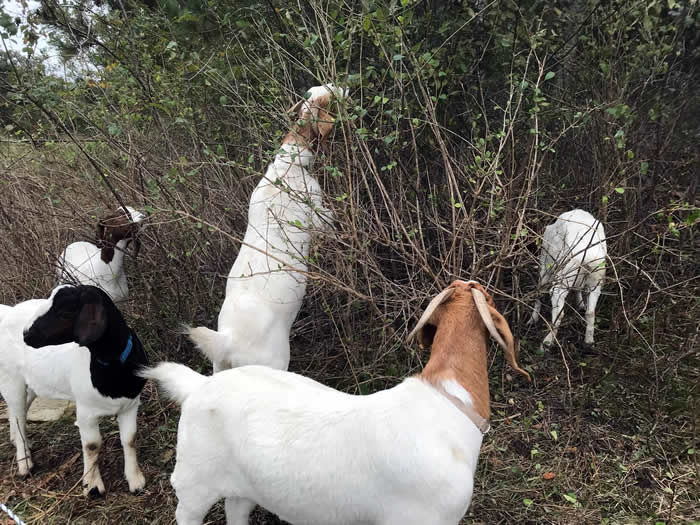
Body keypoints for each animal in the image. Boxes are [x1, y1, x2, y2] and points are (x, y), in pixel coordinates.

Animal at [0, 284, 148, 494]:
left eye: (64, 311)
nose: (26, 334)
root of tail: (8, 312)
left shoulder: (130, 404)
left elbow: (130, 439)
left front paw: (135, 481)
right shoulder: (85, 411)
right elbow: (93, 445)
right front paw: (92, 486)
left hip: (31, 384)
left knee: (16, 413)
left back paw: (19, 442)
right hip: (11, 379)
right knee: (19, 416)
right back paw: (25, 464)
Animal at [189, 83, 348, 372]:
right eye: (331, 92)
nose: (346, 86)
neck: (290, 165)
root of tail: (228, 341)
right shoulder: (318, 216)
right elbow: (328, 226)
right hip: (276, 361)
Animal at [528, 207, 604, 346]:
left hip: (552, 270)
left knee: (554, 306)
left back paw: (546, 340)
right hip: (592, 283)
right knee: (590, 312)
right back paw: (588, 342)